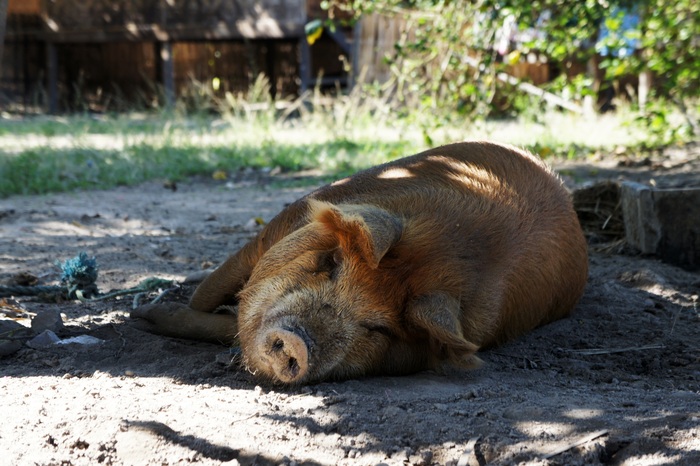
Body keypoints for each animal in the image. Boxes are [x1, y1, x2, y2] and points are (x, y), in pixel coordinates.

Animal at [130, 141, 584, 386]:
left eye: (378, 329)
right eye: (330, 262)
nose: (296, 341)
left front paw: (147, 317)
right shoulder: (281, 223)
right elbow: (213, 291)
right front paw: (143, 316)